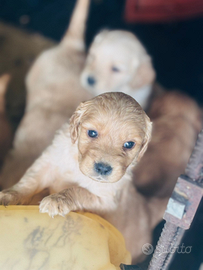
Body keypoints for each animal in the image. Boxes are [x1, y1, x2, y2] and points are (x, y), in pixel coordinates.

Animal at [0, 93, 154, 264]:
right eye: (92, 133)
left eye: (129, 144)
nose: (103, 168)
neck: (77, 163)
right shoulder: (48, 162)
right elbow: (29, 181)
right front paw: (9, 195)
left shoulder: (106, 200)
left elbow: (78, 190)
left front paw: (57, 199)